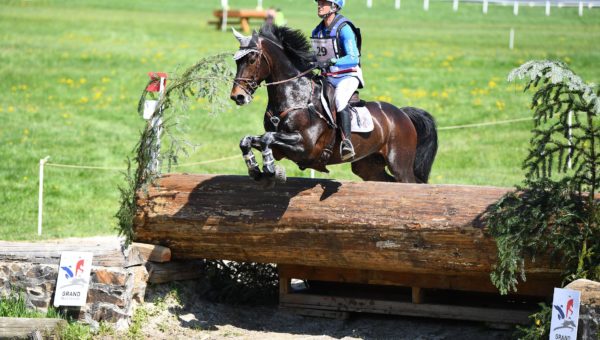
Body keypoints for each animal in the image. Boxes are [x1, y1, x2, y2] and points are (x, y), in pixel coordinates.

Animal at [230, 25, 436, 185]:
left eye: (251, 59)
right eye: (237, 60)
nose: (237, 96)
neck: (295, 96)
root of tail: (402, 114)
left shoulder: (305, 146)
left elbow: (267, 138)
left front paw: (270, 169)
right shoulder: (282, 147)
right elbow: (248, 140)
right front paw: (255, 169)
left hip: (399, 164)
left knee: (410, 182)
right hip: (368, 166)